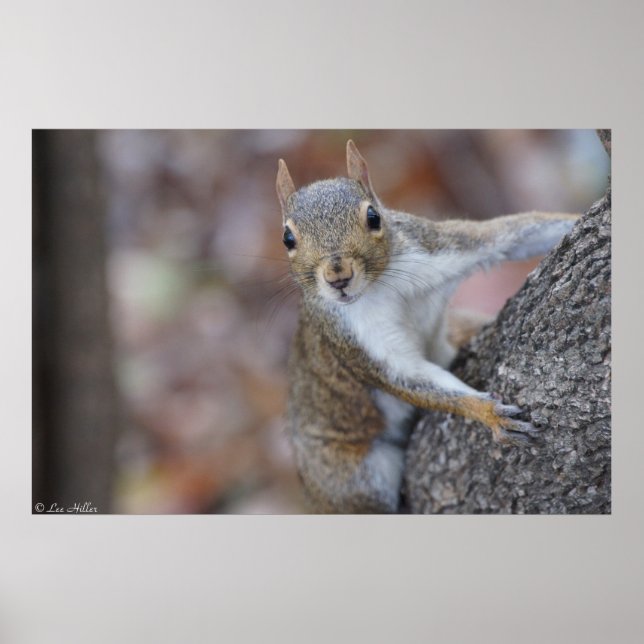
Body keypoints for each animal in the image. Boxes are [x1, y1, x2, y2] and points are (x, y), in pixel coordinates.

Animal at [276, 140, 579, 513]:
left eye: (373, 217)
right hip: (350, 479)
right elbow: (411, 379)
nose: (338, 277)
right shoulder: (357, 342)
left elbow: (507, 235)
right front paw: (488, 413)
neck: (380, 287)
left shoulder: (435, 246)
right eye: (287, 238)